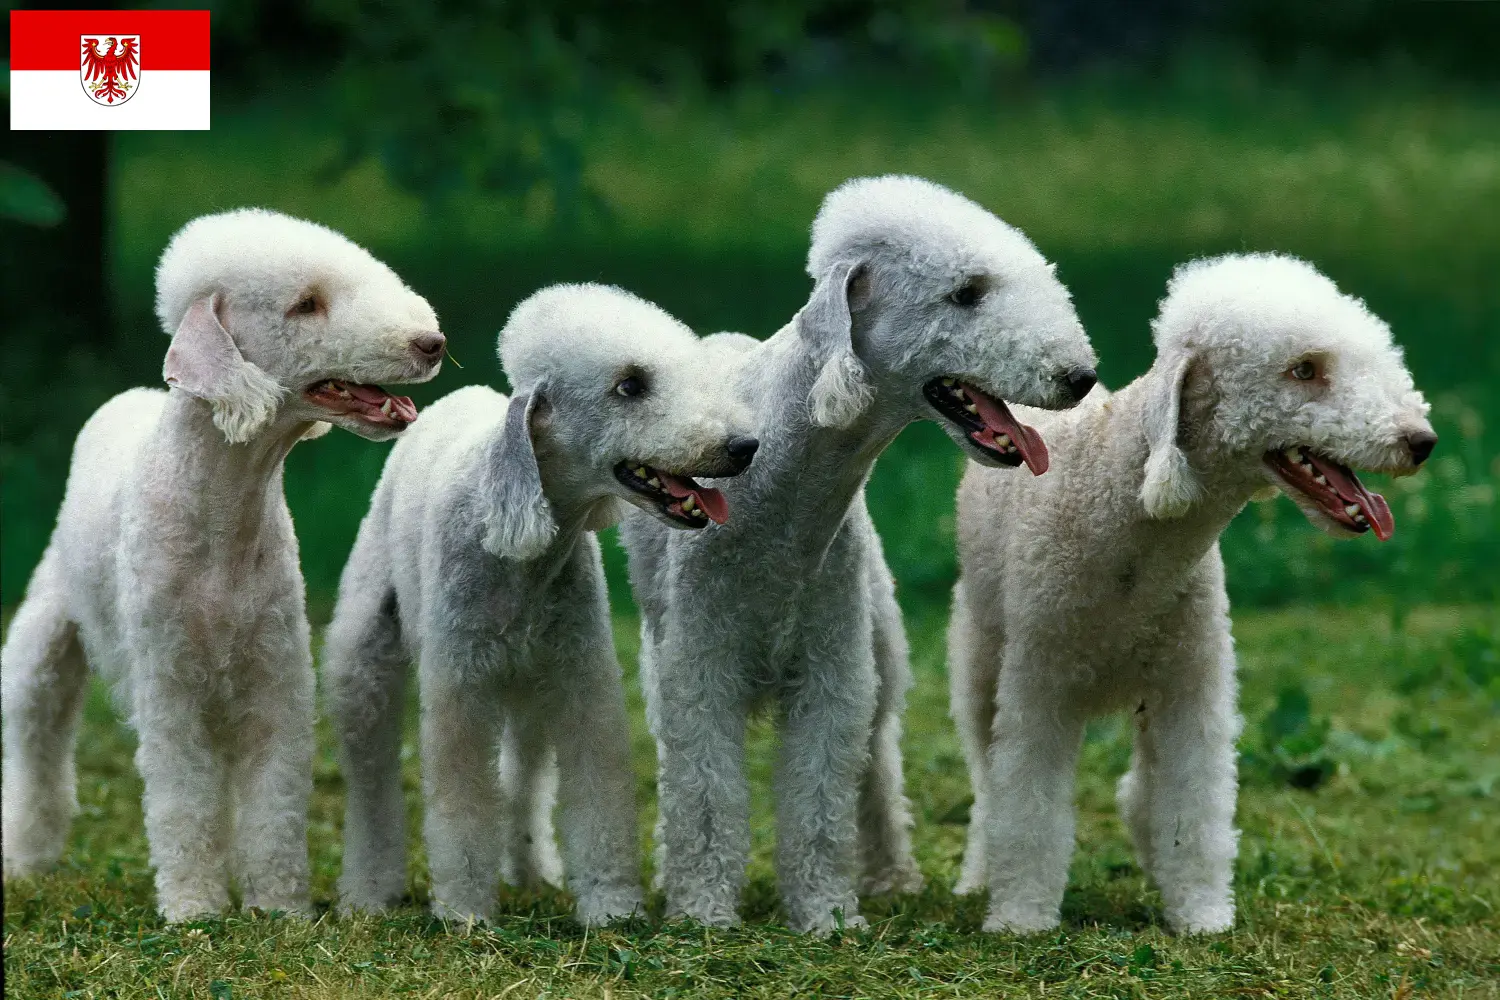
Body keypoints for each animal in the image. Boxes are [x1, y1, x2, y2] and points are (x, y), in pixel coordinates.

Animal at [0, 211, 444, 923]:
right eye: (306, 304)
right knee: (36, 735)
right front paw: (195, 909)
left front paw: (279, 909)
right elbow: (184, 800)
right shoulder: (170, 685)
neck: (222, 509)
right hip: (45, 631)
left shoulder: (275, 678)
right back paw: (25, 859)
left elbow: (274, 802)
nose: (432, 342)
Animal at [322, 284, 756, 929]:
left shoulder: (580, 680)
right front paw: (466, 913)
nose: (743, 447)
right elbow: (462, 800)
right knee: (372, 779)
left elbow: (597, 794)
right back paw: (369, 891)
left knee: (523, 775)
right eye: (630, 385)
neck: (520, 551)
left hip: (530, 687)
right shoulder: (460, 691)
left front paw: (611, 909)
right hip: (366, 655)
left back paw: (528, 871)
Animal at [621, 176, 1104, 935]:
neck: (783, 480)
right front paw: (702, 913)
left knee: (874, 762)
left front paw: (826, 914)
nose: (1079, 376)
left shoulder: (832, 670)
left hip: (876, 637)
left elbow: (824, 795)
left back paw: (890, 877)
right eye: (966, 292)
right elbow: (704, 795)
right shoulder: (701, 668)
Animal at [948, 251, 1440, 941]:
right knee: (987, 779)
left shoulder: (1191, 681)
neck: (1126, 513)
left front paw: (1202, 915)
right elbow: (1028, 806)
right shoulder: (1040, 683)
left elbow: (1193, 804)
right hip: (979, 649)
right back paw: (977, 877)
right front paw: (1021, 918)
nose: (1420, 441)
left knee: (1139, 789)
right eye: (1304, 370)